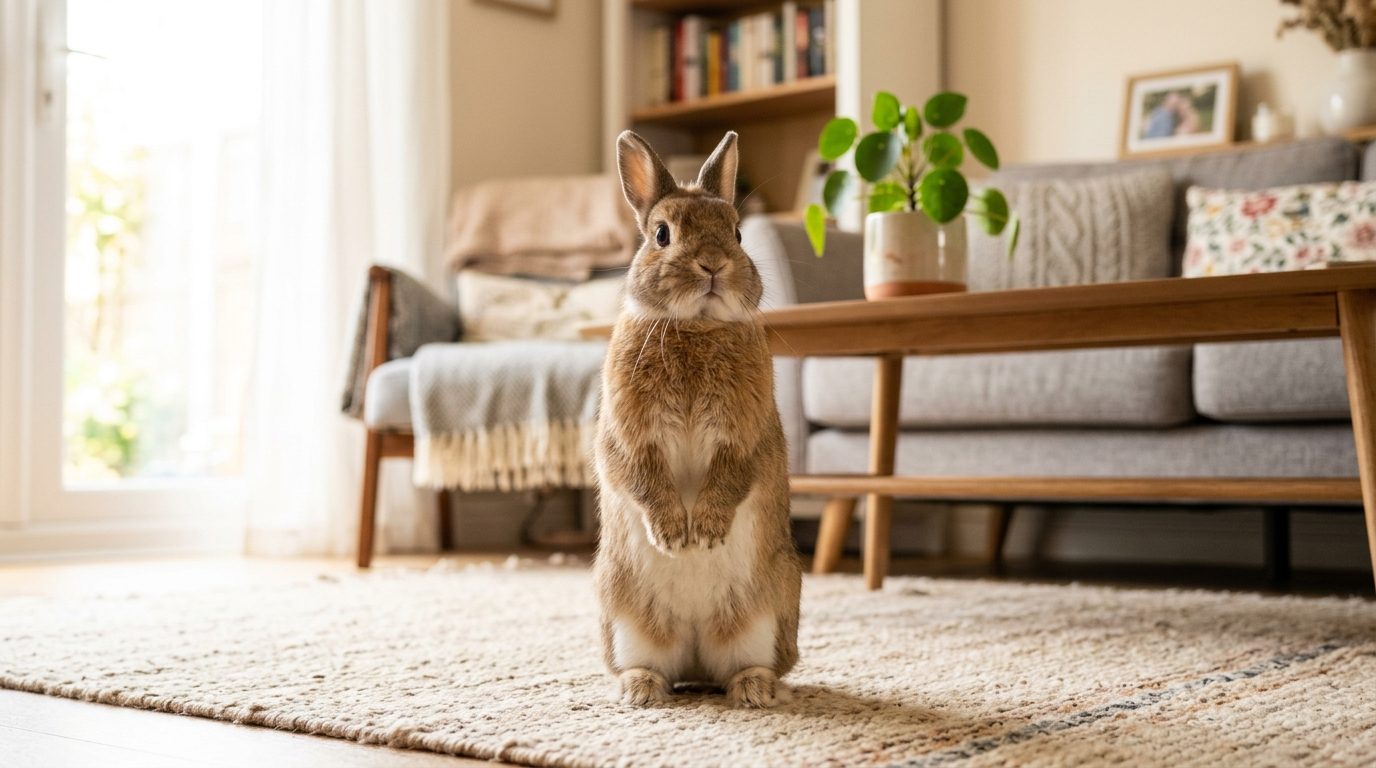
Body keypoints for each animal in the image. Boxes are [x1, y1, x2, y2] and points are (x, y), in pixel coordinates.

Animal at [592, 129, 802, 709]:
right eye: (662, 234)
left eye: (736, 232)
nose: (713, 265)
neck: (694, 327)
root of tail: (694, 655)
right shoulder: (628, 436)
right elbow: (642, 477)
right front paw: (674, 537)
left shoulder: (746, 437)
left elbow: (730, 476)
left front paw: (703, 534)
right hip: (624, 616)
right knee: (648, 663)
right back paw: (641, 690)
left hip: (765, 614)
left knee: (746, 664)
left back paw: (753, 689)